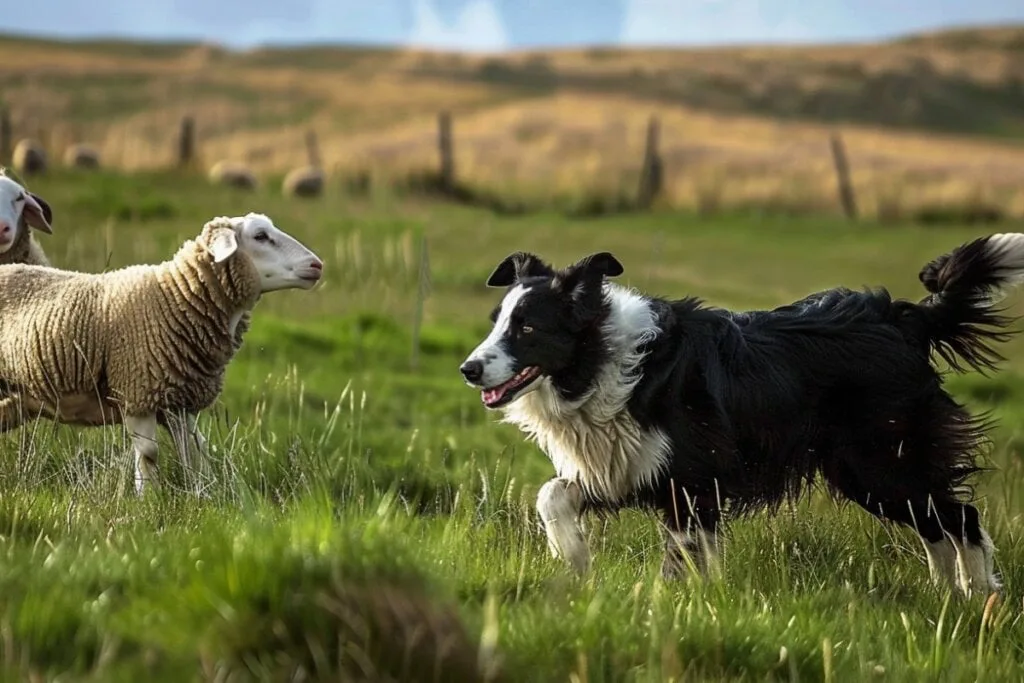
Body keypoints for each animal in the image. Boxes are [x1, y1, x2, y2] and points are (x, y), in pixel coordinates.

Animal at [0, 210, 323, 493]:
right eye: (260, 236)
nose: (317, 265)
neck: (174, 298)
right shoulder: (137, 390)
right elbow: (149, 453)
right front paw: (148, 502)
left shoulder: (178, 401)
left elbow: (194, 452)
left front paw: (204, 495)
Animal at [460, 236, 1024, 598]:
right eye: (497, 322)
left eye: (527, 328)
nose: (468, 369)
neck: (602, 362)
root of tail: (906, 318)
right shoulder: (625, 463)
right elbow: (551, 494)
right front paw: (574, 557)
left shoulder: (692, 478)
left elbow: (682, 556)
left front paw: (673, 606)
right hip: (868, 473)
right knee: (935, 525)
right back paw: (945, 596)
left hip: (881, 461)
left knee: (962, 517)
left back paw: (981, 597)